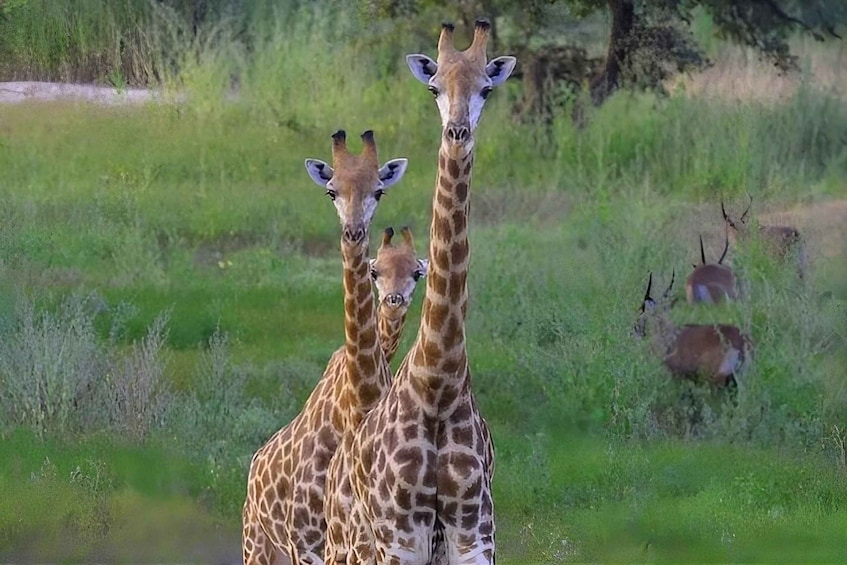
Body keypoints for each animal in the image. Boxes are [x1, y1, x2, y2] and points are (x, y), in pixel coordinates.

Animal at [323, 20, 516, 565]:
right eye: (434, 88)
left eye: (486, 89)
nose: (457, 133)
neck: (439, 380)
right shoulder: (400, 532)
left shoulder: (475, 529)